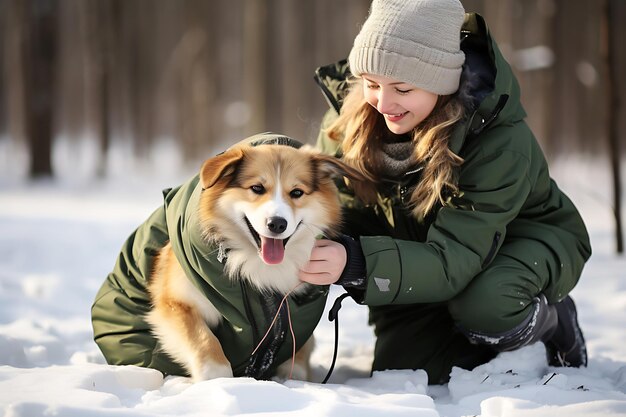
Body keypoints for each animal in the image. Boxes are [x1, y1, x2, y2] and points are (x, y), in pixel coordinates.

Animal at [144, 141, 364, 382]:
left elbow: (297, 364)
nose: (277, 224)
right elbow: (206, 343)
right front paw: (218, 381)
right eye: (257, 188)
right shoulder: (176, 304)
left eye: (297, 192)